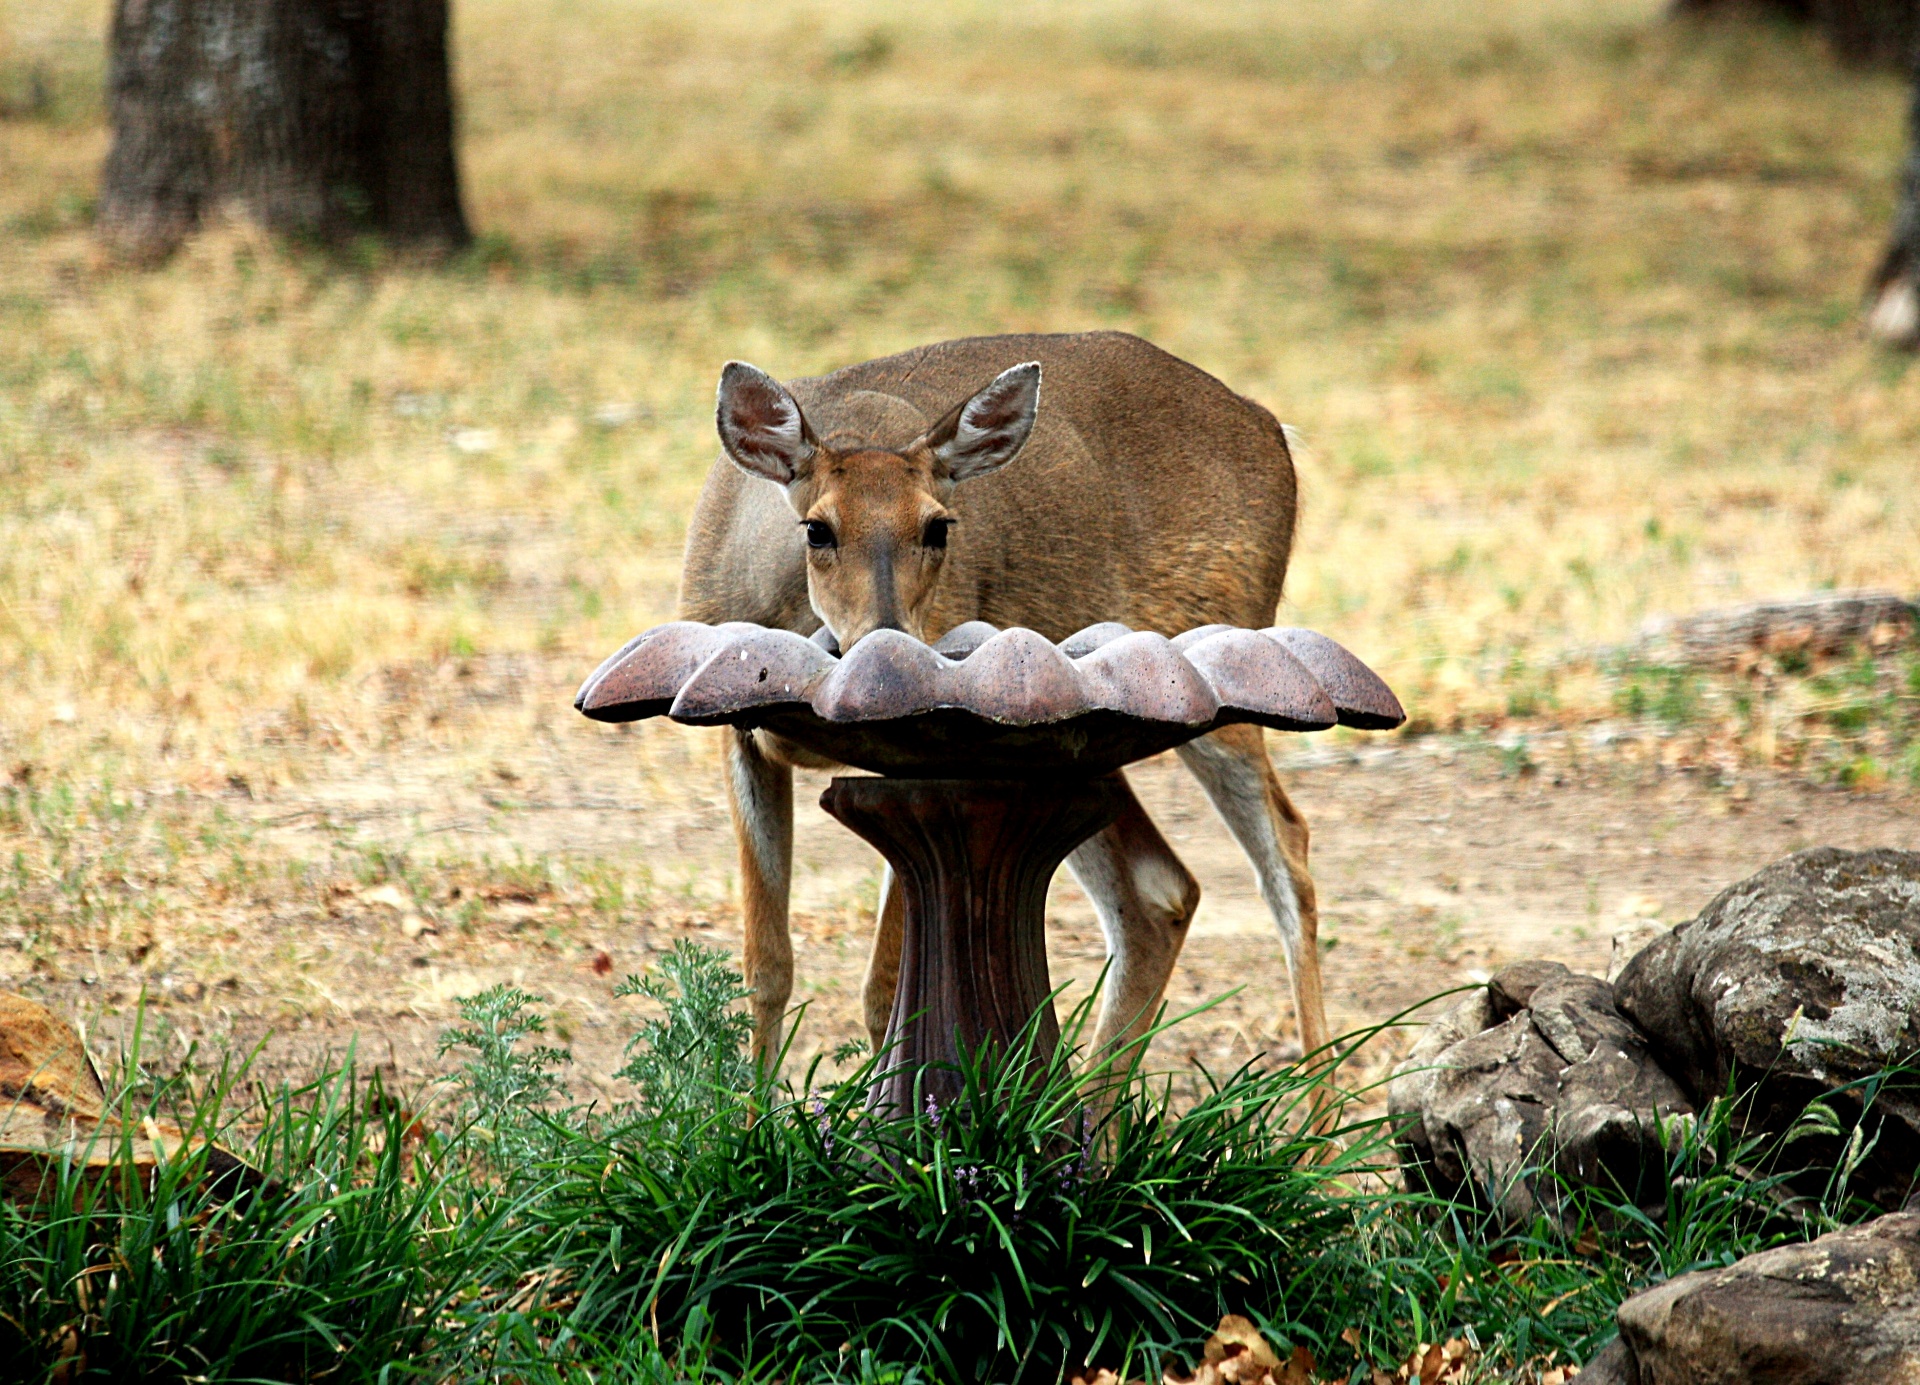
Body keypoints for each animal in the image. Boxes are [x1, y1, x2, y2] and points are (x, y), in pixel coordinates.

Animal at [683, 330, 1328, 1075]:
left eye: (938, 528)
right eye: (817, 529)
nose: (888, 641)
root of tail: (1270, 426)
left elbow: (885, 987)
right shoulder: (735, 731)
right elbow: (766, 968)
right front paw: (751, 1105)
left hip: (1223, 664)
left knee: (1286, 850)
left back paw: (1321, 1102)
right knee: (1159, 889)